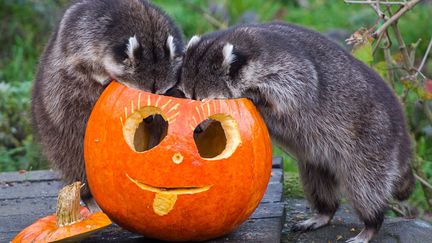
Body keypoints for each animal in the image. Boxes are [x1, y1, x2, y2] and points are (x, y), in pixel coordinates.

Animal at [177, 21, 414, 242]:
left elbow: (296, 88)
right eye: (186, 96)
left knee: (365, 186)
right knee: (318, 181)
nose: (196, 130)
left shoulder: (286, 63)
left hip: (372, 142)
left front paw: (255, 96)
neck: (235, 40)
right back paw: (325, 211)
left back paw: (372, 223)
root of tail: (402, 137)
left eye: (205, 102)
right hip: (319, 159)